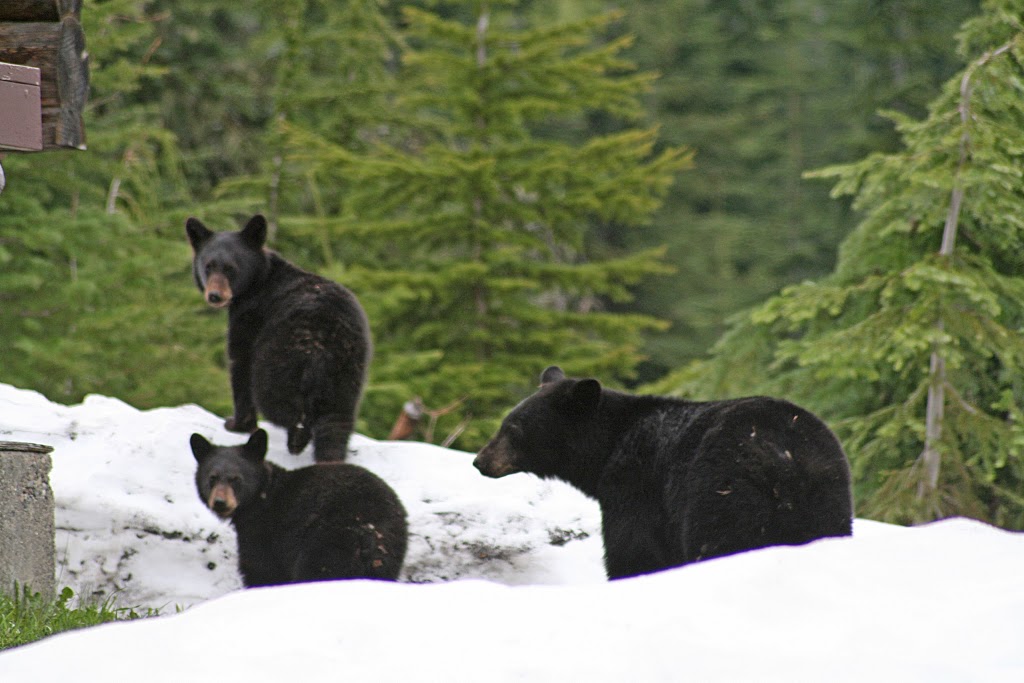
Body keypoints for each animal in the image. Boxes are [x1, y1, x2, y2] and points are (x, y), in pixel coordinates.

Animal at [188, 216, 372, 462]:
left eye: (230, 268)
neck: (259, 282)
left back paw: (296, 440)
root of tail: (326, 339)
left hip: (281, 358)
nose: (215, 296)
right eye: (208, 266)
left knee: (278, 403)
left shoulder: (249, 321)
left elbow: (240, 364)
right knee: (337, 417)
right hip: (347, 371)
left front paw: (236, 424)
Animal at [190, 430, 405, 585]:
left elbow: (262, 571)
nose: (220, 502)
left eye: (236, 479)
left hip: (326, 543)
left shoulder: (264, 535)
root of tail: (368, 529)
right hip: (390, 552)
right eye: (212, 477)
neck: (262, 497)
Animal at [475, 366, 851, 581]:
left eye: (513, 428)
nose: (480, 460)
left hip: (721, 493)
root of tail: (784, 457)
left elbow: (633, 551)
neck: (607, 447)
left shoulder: (633, 485)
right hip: (827, 496)